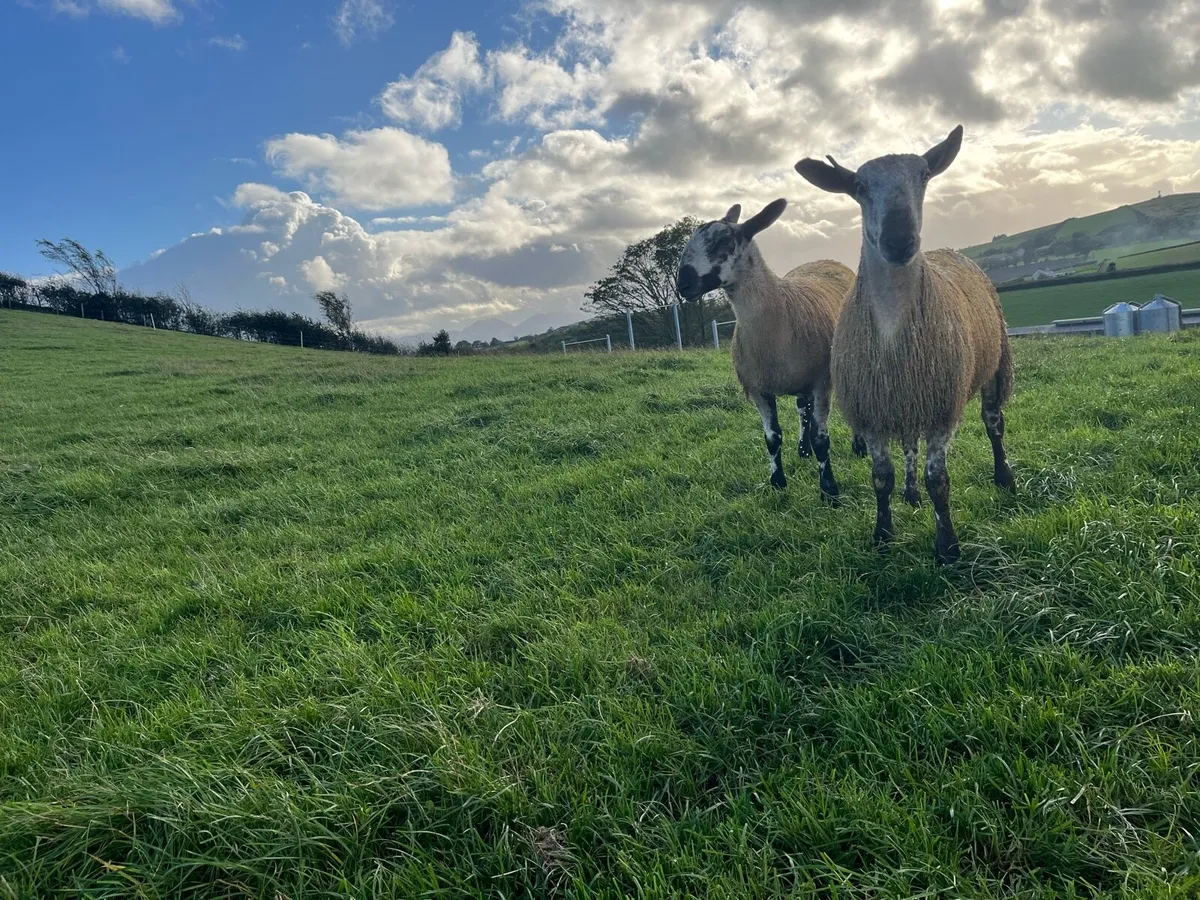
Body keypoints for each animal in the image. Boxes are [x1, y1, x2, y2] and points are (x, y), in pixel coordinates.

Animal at [675, 198, 855, 503]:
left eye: (724, 241)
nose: (682, 285)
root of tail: (828, 259)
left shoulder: (821, 382)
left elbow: (822, 439)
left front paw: (829, 491)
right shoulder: (759, 389)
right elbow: (772, 438)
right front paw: (777, 482)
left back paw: (858, 446)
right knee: (802, 408)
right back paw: (803, 450)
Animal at [795, 125, 1015, 564]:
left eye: (925, 175)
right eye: (859, 187)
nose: (899, 240)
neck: (893, 332)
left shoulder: (942, 407)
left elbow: (939, 480)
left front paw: (947, 548)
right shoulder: (874, 409)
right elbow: (882, 477)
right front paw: (883, 534)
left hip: (992, 363)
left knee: (993, 425)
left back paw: (1004, 478)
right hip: (908, 397)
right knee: (910, 447)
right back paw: (911, 496)